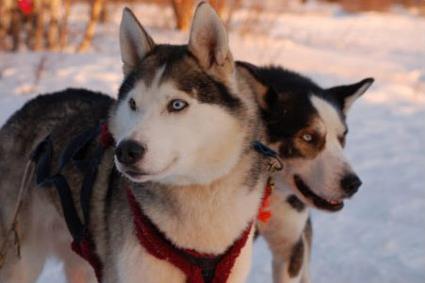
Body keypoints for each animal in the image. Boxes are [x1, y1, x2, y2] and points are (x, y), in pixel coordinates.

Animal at [0, 3, 272, 283]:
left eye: (177, 104)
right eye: (132, 103)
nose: (126, 151)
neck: (199, 193)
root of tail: (30, 105)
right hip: (22, 261)